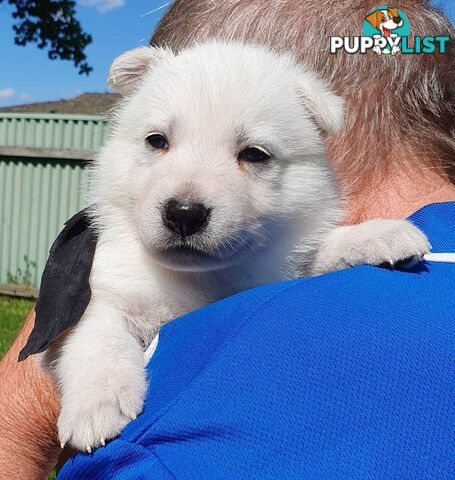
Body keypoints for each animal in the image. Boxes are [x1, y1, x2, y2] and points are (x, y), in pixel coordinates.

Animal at [50, 40, 432, 450]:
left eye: (254, 154)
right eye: (156, 141)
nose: (184, 213)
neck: (197, 278)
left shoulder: (278, 267)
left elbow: (317, 251)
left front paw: (378, 235)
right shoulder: (104, 293)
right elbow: (97, 340)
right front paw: (97, 403)